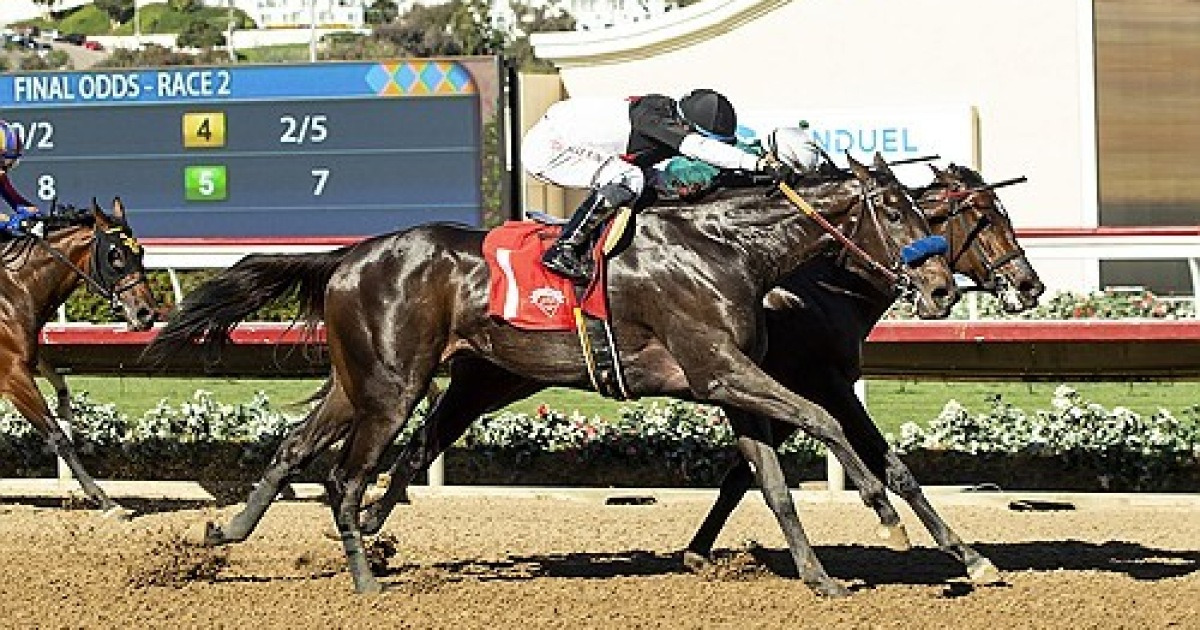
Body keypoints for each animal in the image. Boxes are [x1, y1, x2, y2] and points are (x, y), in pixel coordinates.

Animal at [0, 199, 158, 518]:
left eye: (140, 252)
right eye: (114, 256)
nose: (146, 314)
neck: (13, 292)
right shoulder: (12, 374)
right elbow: (58, 436)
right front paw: (105, 500)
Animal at [146, 153, 957, 596]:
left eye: (926, 209)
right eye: (895, 209)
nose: (942, 287)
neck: (725, 248)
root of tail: (347, 257)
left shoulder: (731, 384)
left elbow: (775, 485)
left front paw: (822, 578)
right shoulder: (721, 369)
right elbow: (821, 421)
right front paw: (885, 514)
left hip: (361, 383)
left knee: (293, 448)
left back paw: (225, 531)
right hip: (393, 385)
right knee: (344, 478)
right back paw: (366, 579)